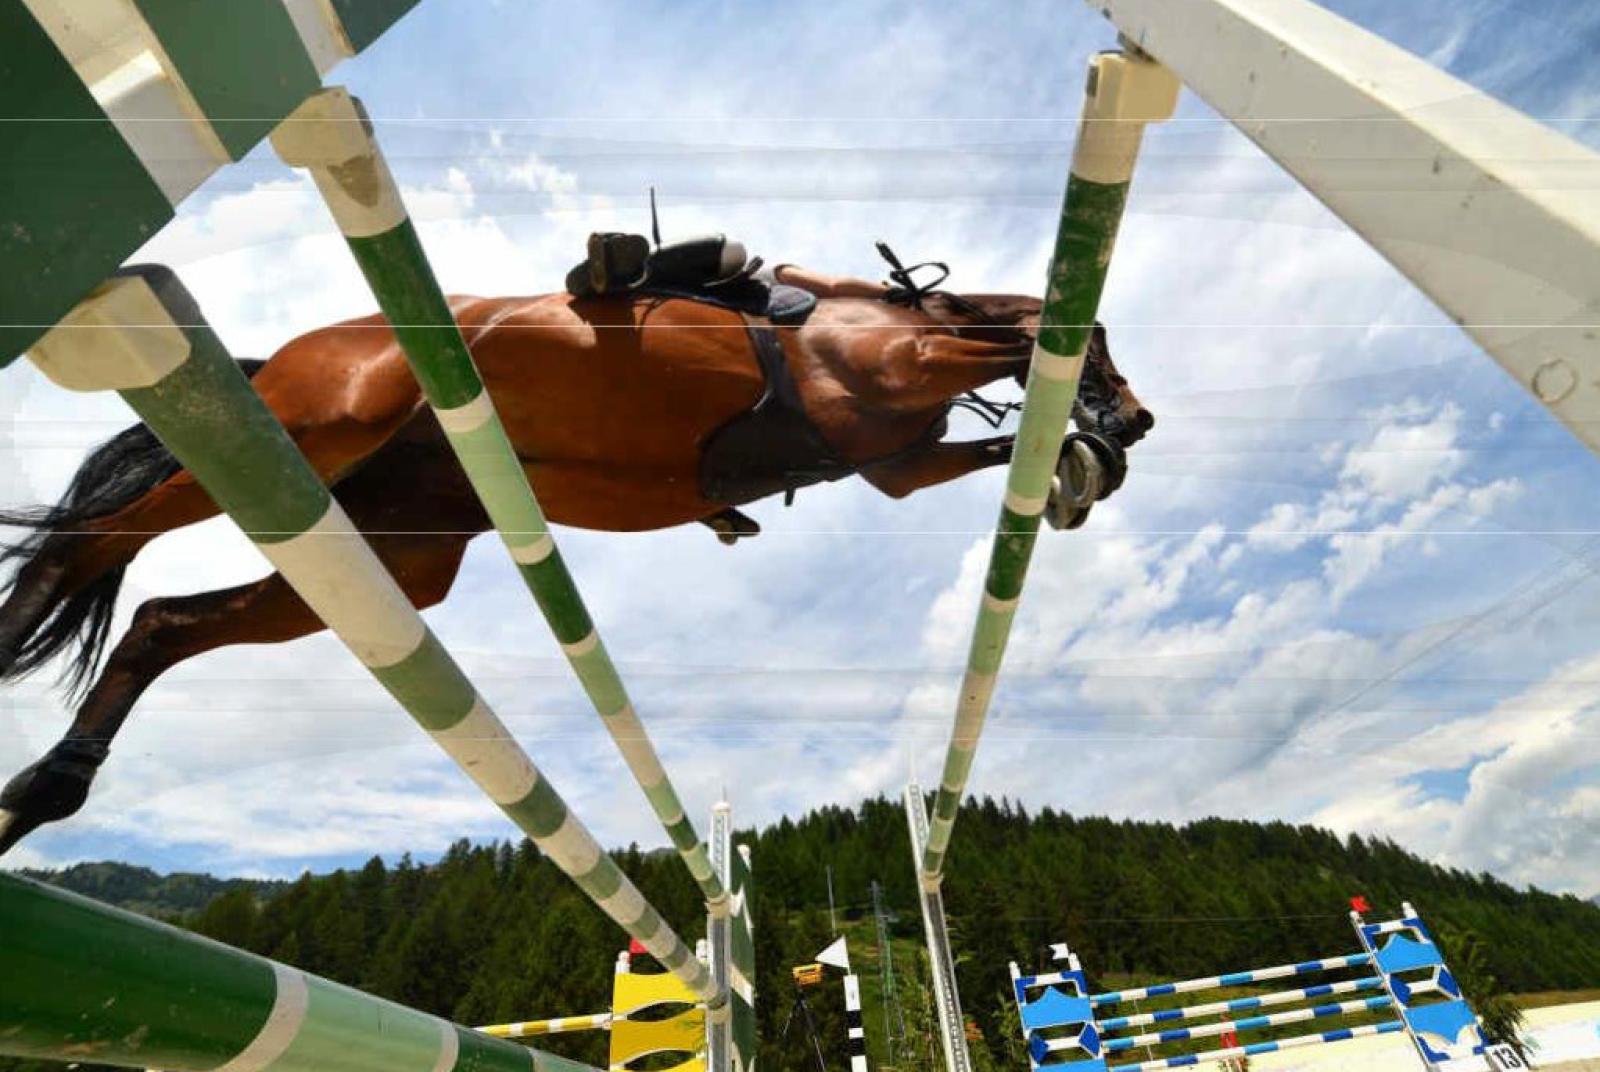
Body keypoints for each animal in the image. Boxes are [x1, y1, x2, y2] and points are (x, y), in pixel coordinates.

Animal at [0, 270, 1152, 857]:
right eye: (1105, 349)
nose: (1138, 418)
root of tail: (278, 354)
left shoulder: (892, 466)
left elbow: (973, 441)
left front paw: (1080, 465)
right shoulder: (882, 376)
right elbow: (1009, 344)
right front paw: (1080, 435)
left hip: (386, 557)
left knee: (163, 621)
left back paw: (47, 790)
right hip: (311, 427)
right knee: (101, 541)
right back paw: (22, 646)